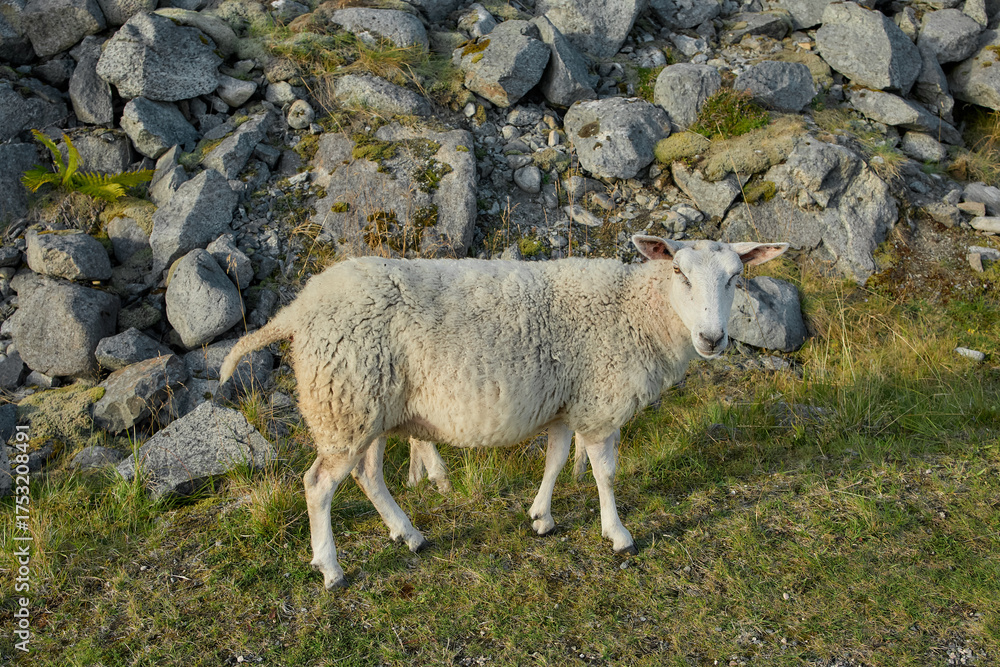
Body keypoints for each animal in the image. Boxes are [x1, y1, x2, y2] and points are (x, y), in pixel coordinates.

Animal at [220, 235, 788, 589]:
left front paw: (541, 517)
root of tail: (298, 309)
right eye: (678, 271)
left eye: (736, 277)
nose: (712, 339)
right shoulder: (599, 404)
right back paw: (332, 569)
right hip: (346, 403)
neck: (639, 310)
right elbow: (604, 472)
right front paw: (619, 535)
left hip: (367, 408)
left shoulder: (565, 403)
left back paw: (409, 535)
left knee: (367, 474)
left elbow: (556, 459)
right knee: (318, 484)